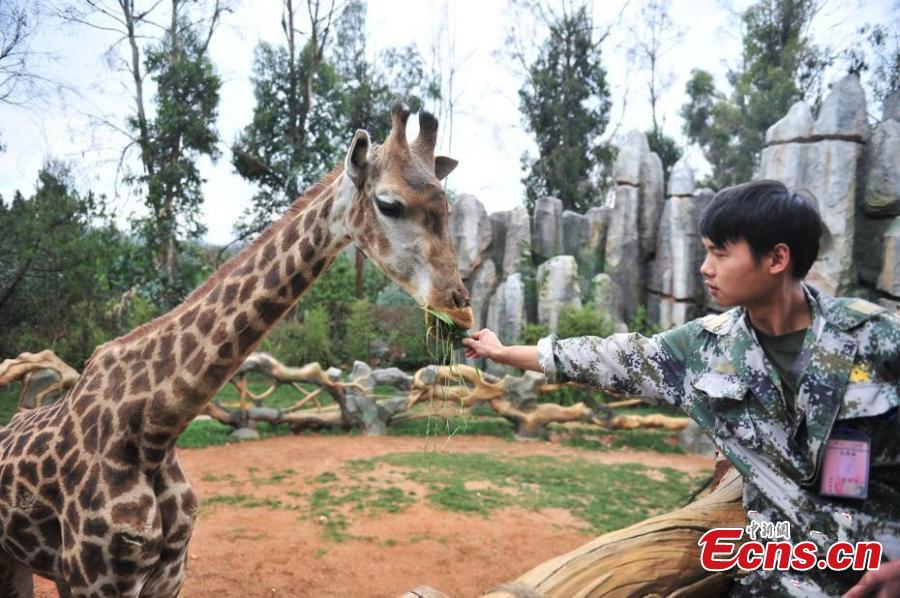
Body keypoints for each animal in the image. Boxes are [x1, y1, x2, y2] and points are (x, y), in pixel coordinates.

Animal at [0, 104, 474, 598]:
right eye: (389, 204)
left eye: (446, 208)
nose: (458, 309)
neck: (154, 428)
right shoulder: (97, 578)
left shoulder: (166, 575)